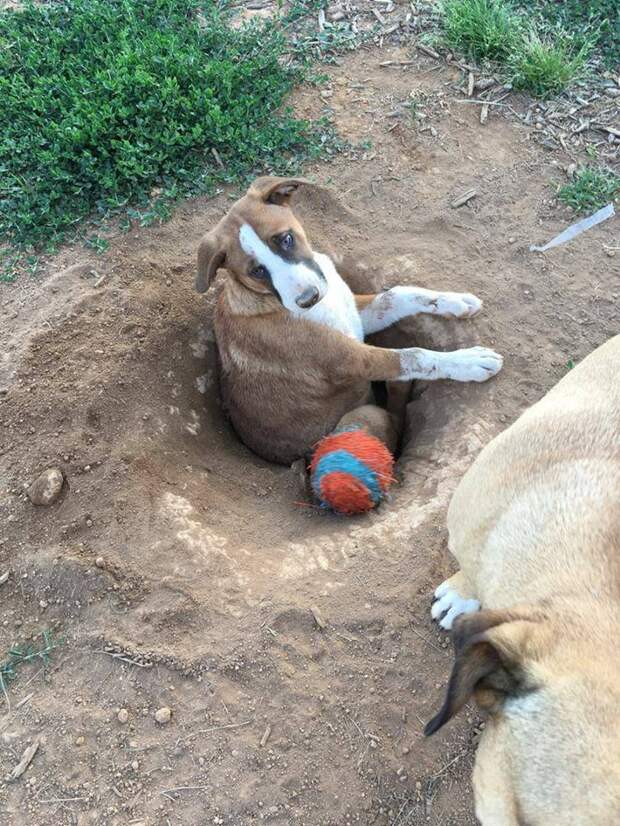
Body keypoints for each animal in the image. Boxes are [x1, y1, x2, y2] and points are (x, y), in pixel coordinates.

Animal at [196, 175, 502, 464]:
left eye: (285, 239)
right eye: (257, 271)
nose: (308, 298)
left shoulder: (356, 315)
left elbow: (398, 295)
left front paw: (454, 300)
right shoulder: (352, 360)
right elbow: (413, 355)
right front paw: (469, 361)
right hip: (365, 415)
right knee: (394, 419)